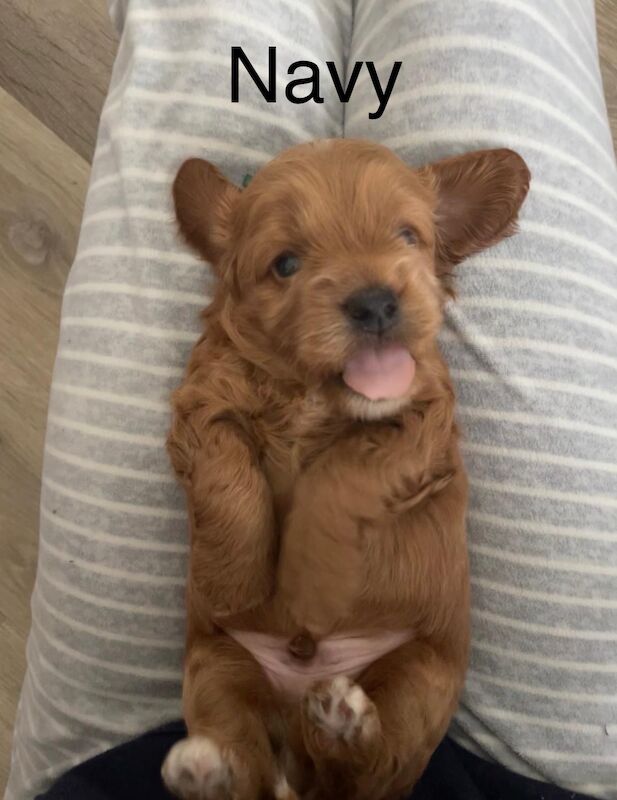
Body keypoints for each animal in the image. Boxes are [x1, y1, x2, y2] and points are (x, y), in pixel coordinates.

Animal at [161, 141, 528, 800]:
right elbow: (229, 477)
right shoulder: (203, 402)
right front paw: (234, 581)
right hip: (216, 668)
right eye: (285, 264)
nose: (376, 302)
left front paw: (310, 581)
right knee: (251, 764)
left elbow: (341, 475)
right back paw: (208, 769)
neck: (312, 395)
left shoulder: (423, 423)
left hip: (420, 679)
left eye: (408, 236)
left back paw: (341, 723)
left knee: (364, 769)